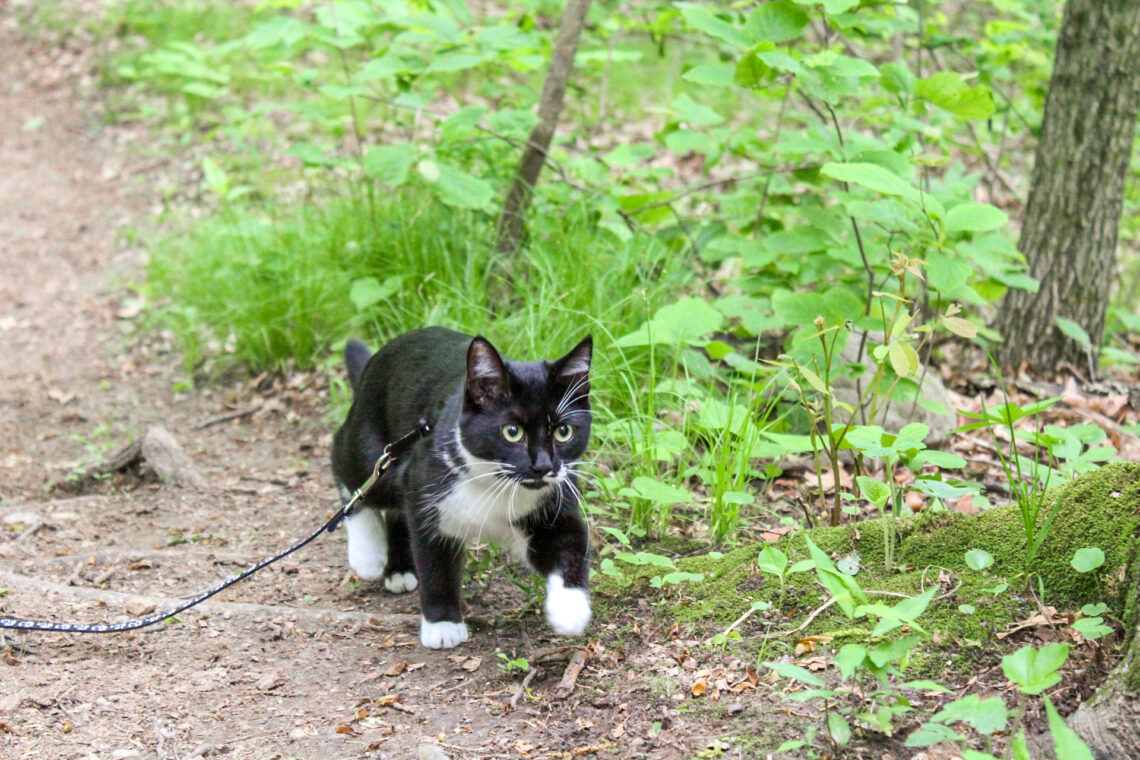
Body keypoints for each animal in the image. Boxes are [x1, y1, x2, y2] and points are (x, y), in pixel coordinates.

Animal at [330, 328, 592, 647]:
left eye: (564, 431)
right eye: (512, 431)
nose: (543, 465)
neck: (495, 484)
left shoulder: (553, 499)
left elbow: (569, 544)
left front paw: (570, 610)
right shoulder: (424, 481)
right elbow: (435, 562)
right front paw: (442, 623)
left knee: (396, 508)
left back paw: (400, 569)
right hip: (376, 445)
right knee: (350, 466)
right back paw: (367, 553)